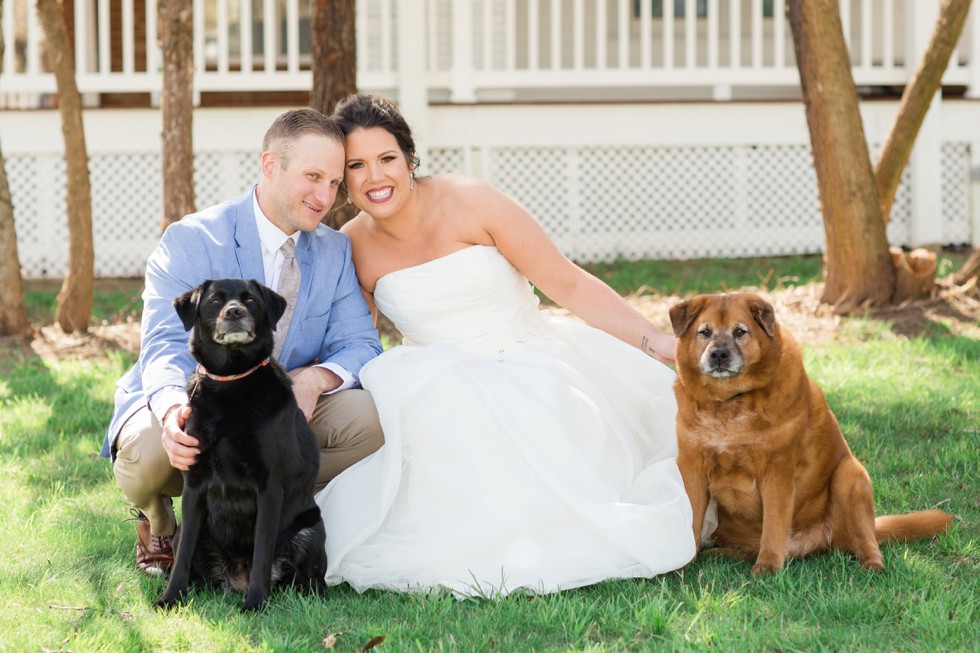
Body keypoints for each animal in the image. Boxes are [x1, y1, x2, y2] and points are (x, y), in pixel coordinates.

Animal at [155, 276, 328, 612]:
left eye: (250, 300)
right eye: (214, 301)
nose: (234, 312)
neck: (231, 384)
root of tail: (235, 581)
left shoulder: (269, 489)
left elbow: (261, 552)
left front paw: (256, 603)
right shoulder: (194, 486)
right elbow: (181, 558)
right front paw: (170, 597)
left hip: (311, 529)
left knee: (312, 581)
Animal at [668, 292, 952, 572]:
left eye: (740, 332)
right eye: (704, 332)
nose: (718, 354)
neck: (730, 403)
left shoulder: (778, 471)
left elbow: (774, 525)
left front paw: (767, 567)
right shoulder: (692, 468)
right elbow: (690, 520)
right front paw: (682, 564)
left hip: (850, 476)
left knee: (866, 541)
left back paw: (872, 565)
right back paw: (721, 554)